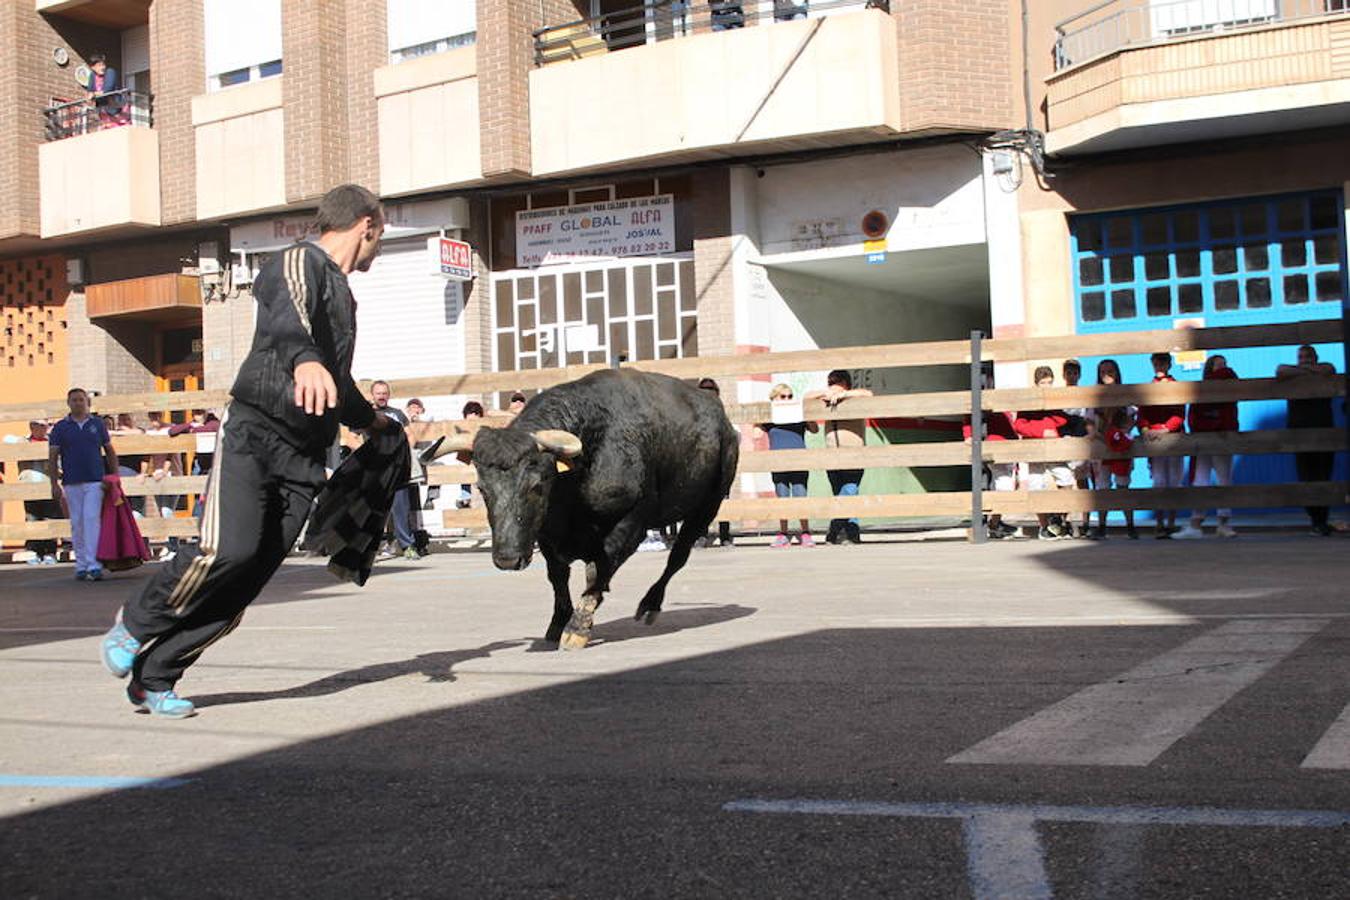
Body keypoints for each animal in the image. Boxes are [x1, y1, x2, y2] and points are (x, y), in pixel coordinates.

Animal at [448, 369, 739, 650]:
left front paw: (577, 627)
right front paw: (559, 622)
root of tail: (723, 421)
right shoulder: (546, 533)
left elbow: (598, 570)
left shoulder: (630, 524)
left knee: (678, 556)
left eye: (537, 485)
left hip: (707, 506)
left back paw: (650, 605)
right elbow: (559, 576)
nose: (507, 559)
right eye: (482, 489)